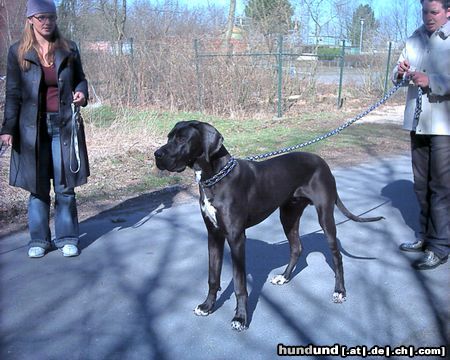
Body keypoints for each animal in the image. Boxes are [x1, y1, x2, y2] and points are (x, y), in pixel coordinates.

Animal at [153, 121, 382, 332]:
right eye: (169, 136)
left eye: (182, 139)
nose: (156, 155)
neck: (215, 178)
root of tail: (322, 161)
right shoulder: (214, 235)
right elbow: (212, 276)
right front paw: (208, 306)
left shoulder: (236, 238)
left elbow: (240, 284)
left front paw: (240, 318)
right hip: (288, 216)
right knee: (297, 248)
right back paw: (284, 277)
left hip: (325, 217)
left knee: (336, 256)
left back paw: (340, 291)